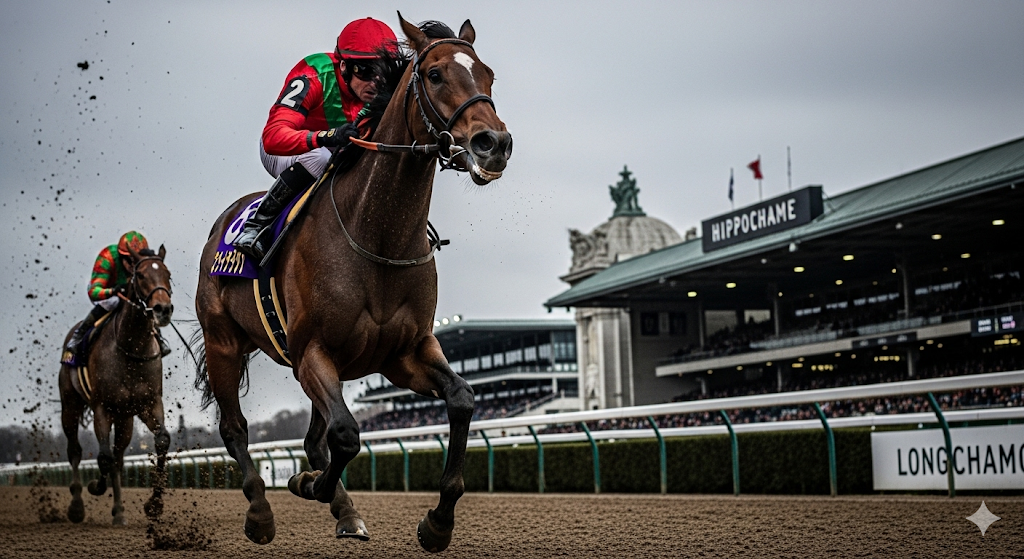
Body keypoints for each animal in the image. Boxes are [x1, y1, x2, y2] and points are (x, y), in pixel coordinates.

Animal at [58, 245, 174, 525]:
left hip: (125, 418)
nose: (163, 309)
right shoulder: (102, 407)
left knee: (119, 457)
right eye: (140, 275)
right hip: (70, 405)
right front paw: (95, 486)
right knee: (75, 450)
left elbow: (161, 441)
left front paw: (154, 505)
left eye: (168, 274)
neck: (131, 349)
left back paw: (119, 512)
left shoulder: (149, 404)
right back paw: (77, 506)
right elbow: (102, 457)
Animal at [192, 14, 511, 552]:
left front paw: (437, 522)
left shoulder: (406, 353)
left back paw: (344, 510)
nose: (494, 144)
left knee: (310, 438)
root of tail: (223, 223)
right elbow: (345, 434)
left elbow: (463, 399)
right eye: (435, 75)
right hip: (224, 343)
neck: (376, 234)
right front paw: (306, 485)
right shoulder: (311, 352)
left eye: (488, 74)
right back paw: (260, 512)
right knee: (235, 428)